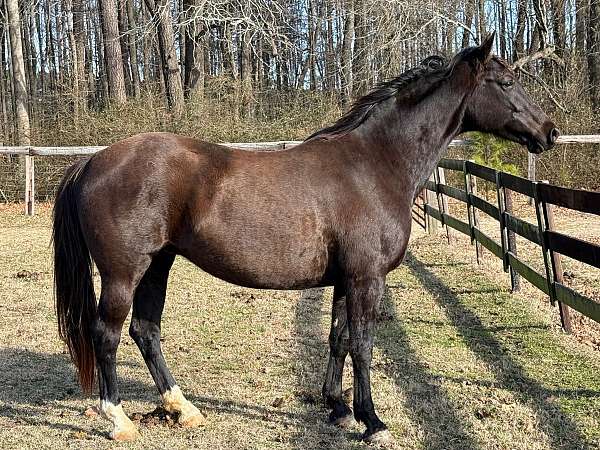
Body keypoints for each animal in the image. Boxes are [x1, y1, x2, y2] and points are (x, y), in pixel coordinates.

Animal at [51, 33, 556, 444]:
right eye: (506, 83)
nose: (549, 132)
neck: (373, 165)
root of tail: (93, 160)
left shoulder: (346, 279)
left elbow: (338, 339)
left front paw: (338, 408)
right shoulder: (367, 279)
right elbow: (363, 345)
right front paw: (372, 421)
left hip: (159, 263)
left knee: (146, 330)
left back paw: (183, 409)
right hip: (124, 272)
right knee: (108, 334)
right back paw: (119, 420)